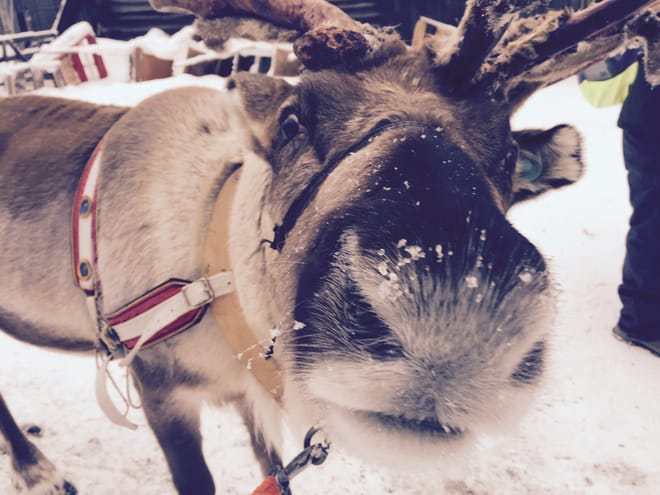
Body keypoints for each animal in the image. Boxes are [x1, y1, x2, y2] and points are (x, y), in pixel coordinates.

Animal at [0, 0, 657, 493]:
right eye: (294, 119)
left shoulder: (252, 401)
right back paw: (40, 473)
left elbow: (272, 471)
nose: (455, 309)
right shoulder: (158, 386)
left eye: (507, 156)